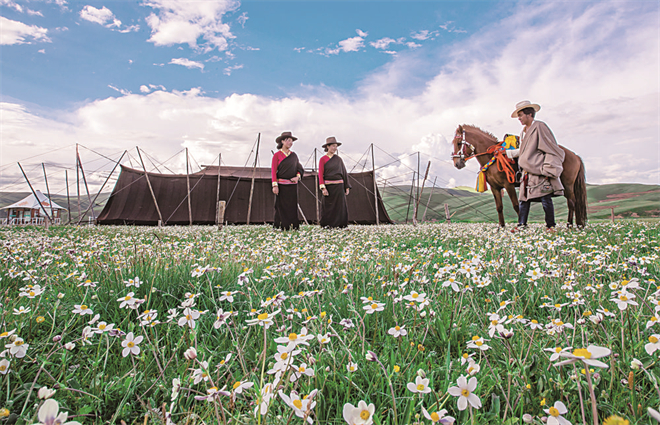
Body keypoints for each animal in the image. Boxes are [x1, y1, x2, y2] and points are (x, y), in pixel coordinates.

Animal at [454, 124, 588, 227]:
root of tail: (575, 155)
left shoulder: (508, 185)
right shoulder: (495, 187)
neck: (494, 157)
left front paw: (522, 225)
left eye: (459, 143)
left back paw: (569, 225)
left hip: (568, 185)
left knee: (571, 203)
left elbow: (516, 206)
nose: (456, 163)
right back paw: (577, 225)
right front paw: (501, 228)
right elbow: (499, 207)